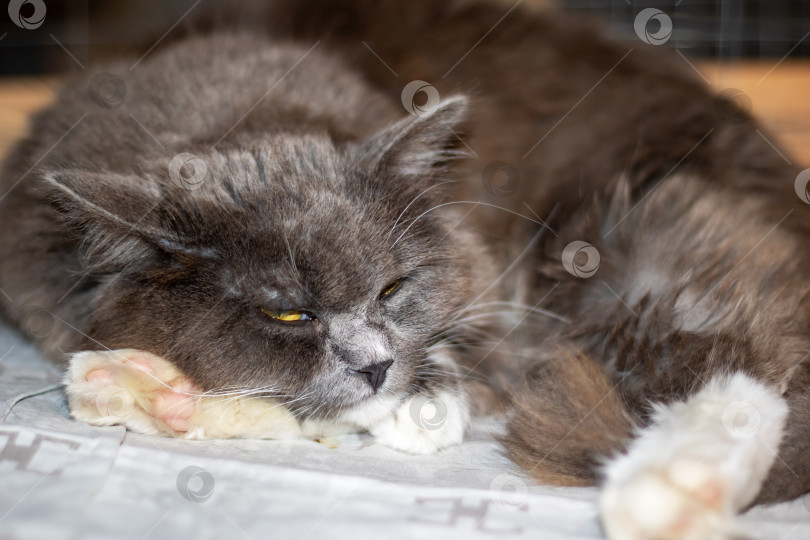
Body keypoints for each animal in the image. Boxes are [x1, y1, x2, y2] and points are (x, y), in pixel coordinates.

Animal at [1, 1, 808, 540]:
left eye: (392, 288)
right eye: (288, 312)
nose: (376, 366)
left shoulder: (493, 268)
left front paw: (423, 407)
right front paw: (136, 382)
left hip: (628, 244)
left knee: (746, 366)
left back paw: (668, 493)